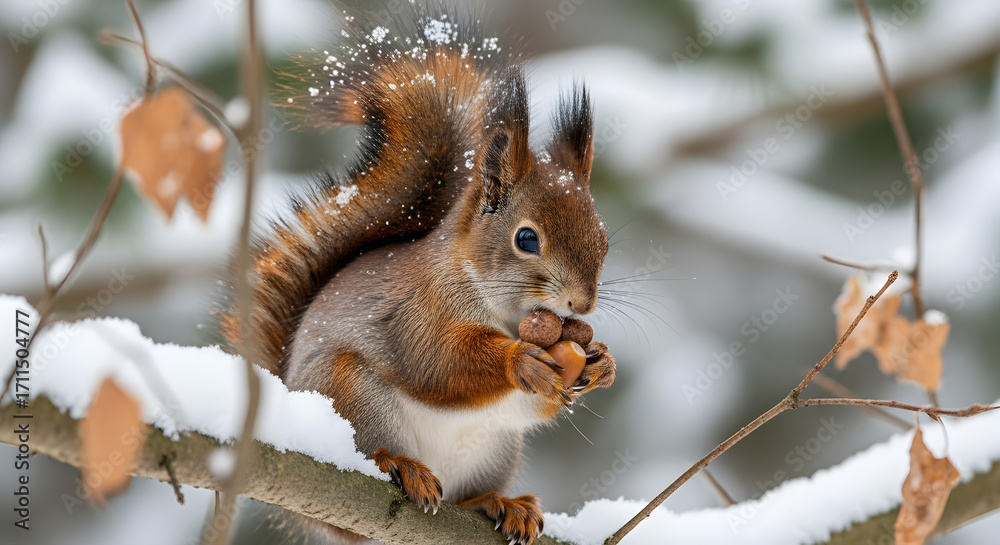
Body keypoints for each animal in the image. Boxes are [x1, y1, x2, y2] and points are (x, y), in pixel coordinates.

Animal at [219, 4, 616, 544]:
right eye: (527, 239)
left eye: (603, 237)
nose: (582, 304)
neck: (505, 312)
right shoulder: (416, 312)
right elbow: (437, 362)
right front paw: (520, 361)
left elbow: (535, 404)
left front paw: (601, 364)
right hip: (350, 396)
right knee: (368, 460)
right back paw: (400, 466)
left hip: (496, 449)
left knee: (469, 494)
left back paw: (500, 502)